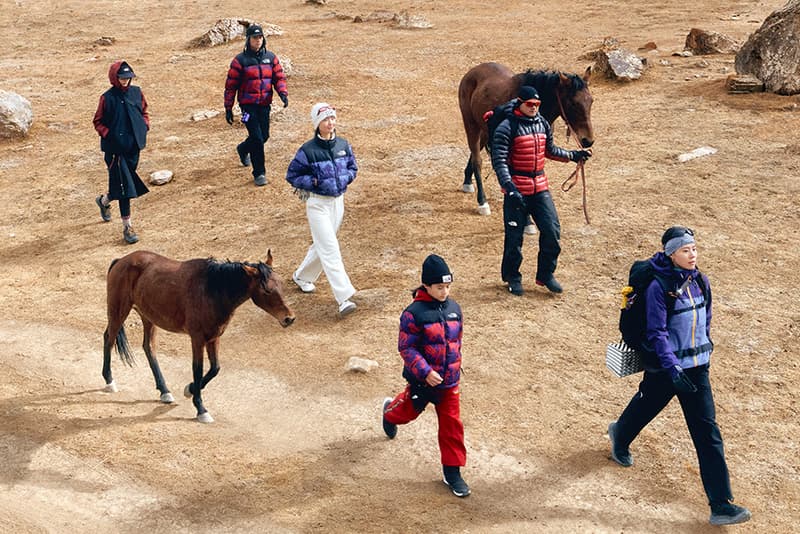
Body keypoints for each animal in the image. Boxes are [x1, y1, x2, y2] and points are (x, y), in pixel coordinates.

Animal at [102, 249, 295, 423]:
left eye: (281, 284)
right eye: (267, 290)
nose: (289, 318)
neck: (212, 290)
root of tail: (121, 260)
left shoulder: (214, 337)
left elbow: (215, 368)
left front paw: (190, 389)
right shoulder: (197, 338)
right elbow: (198, 369)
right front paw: (201, 408)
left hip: (148, 317)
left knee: (148, 347)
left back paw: (165, 391)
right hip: (119, 311)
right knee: (109, 339)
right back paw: (109, 381)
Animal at [458, 62, 595, 215]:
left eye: (591, 101)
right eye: (573, 103)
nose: (588, 140)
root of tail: (472, 71)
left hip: (486, 130)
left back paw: (467, 181)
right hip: (471, 124)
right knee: (477, 160)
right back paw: (482, 202)